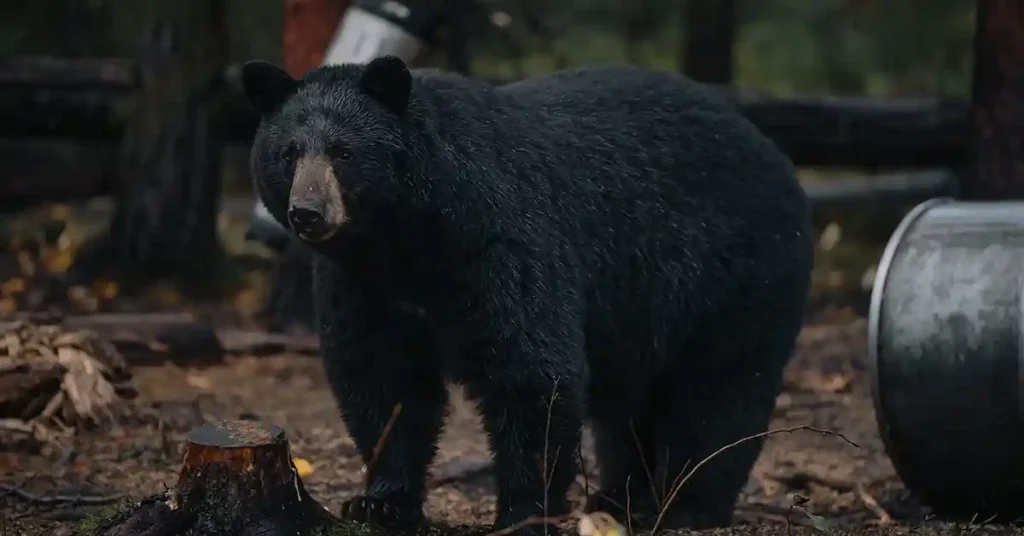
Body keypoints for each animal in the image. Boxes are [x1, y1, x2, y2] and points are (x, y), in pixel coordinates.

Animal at [240, 55, 814, 535]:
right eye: (289, 153)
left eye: (344, 152)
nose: (307, 212)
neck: (409, 239)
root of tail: (776, 156)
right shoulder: (363, 284)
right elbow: (383, 376)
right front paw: (380, 500)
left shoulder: (500, 241)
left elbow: (529, 369)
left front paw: (523, 510)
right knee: (630, 406)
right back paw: (618, 495)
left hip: (737, 277)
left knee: (720, 390)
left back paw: (686, 504)